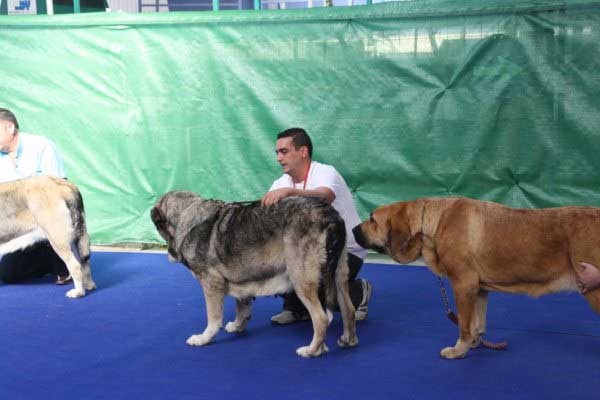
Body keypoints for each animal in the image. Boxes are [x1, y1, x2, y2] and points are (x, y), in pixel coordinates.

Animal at [150, 192, 358, 358]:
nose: (170, 254)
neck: (187, 215)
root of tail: (331, 215)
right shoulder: (241, 280)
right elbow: (242, 307)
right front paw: (238, 325)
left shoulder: (211, 283)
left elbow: (213, 318)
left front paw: (204, 338)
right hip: (338, 276)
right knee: (348, 309)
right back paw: (348, 340)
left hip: (302, 280)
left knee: (321, 318)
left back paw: (312, 350)